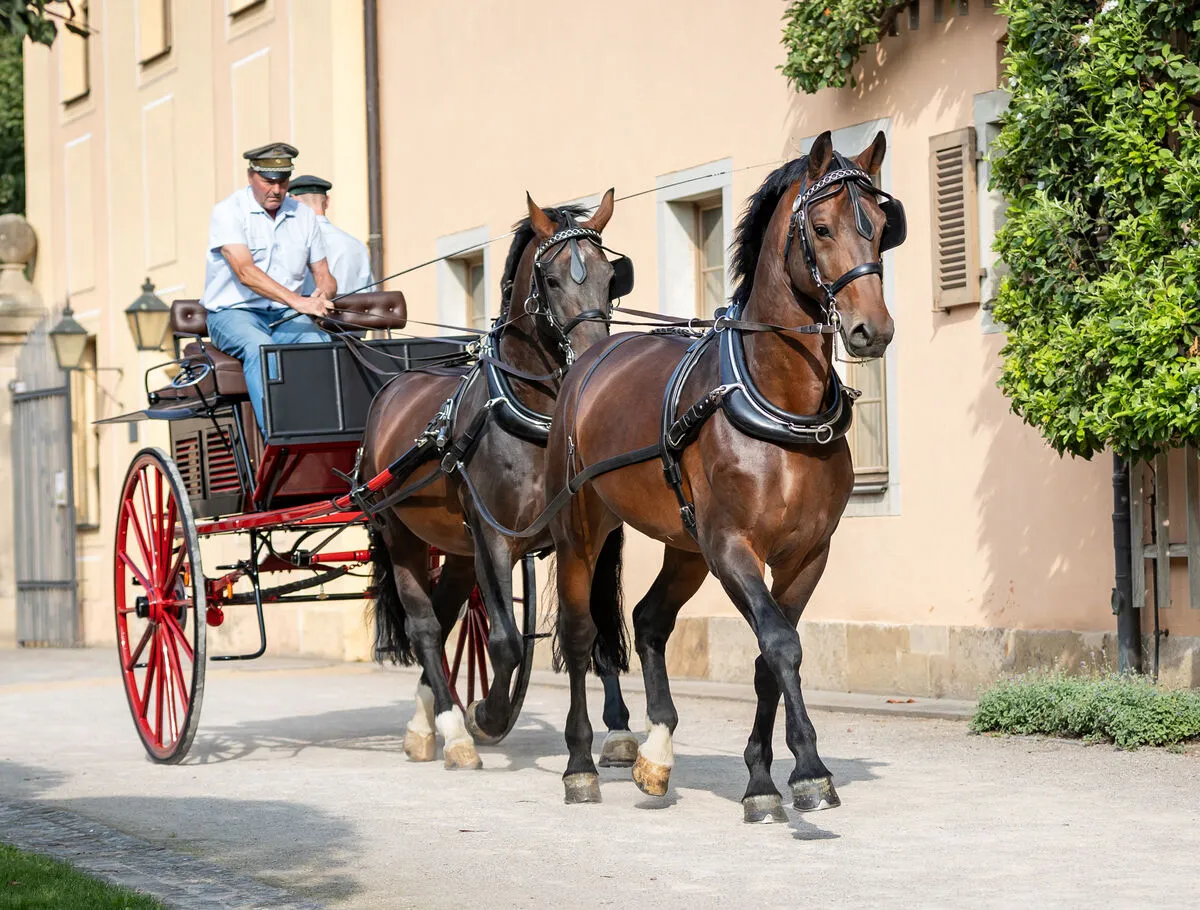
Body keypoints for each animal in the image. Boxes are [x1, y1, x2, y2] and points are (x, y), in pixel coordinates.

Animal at [360, 190, 638, 768]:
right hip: (403, 535)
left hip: (457, 549)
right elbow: (507, 640)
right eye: (550, 280)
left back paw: (425, 723)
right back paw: (454, 729)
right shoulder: (493, 537)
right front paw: (487, 714)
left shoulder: (590, 536)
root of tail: (391, 388)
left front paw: (620, 729)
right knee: (424, 625)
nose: (594, 359)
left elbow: (597, 623)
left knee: (445, 615)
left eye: (610, 276)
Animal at [544, 132, 902, 821]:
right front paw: (809, 769)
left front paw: (763, 778)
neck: (778, 398)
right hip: (584, 533)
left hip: (686, 546)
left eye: (880, 226)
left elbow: (770, 655)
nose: (872, 330)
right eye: (821, 228)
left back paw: (656, 753)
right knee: (578, 637)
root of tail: (591, 356)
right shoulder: (732, 547)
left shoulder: (805, 555)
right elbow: (780, 644)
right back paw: (579, 766)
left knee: (650, 620)